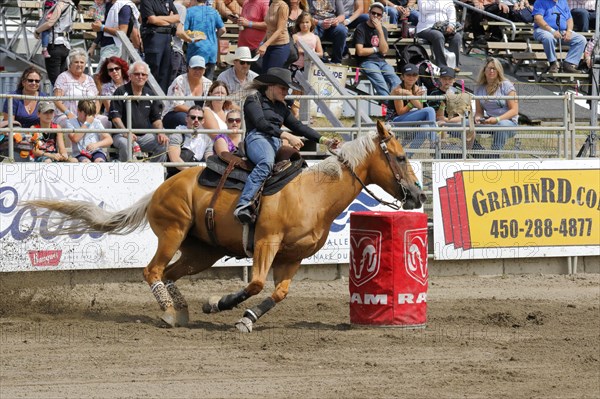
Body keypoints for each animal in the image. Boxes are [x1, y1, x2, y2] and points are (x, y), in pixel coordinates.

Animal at [27, 121, 422, 332]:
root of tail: (161, 188)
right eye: (401, 156)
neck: (314, 193)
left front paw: (244, 317)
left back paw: (182, 310)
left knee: (169, 274)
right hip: (172, 232)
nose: (417, 195)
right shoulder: (266, 243)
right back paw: (169, 313)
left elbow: (279, 293)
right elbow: (257, 282)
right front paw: (220, 304)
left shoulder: (293, 257)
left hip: (204, 251)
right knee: (152, 270)